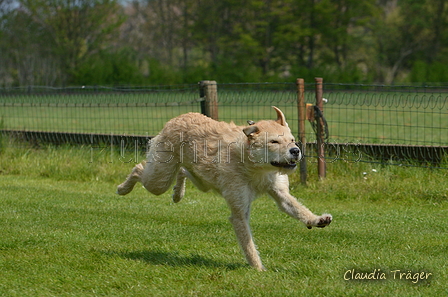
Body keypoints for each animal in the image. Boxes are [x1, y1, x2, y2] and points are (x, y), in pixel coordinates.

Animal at [117, 105, 330, 270]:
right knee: (139, 169)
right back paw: (123, 189)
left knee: (183, 171)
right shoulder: (239, 210)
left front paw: (316, 219)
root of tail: (178, 117)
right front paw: (258, 269)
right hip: (159, 179)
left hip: (200, 180)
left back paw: (178, 193)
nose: (296, 151)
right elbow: (248, 244)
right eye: (274, 141)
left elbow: (297, 208)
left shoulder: (279, 192)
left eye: (292, 140)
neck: (254, 165)